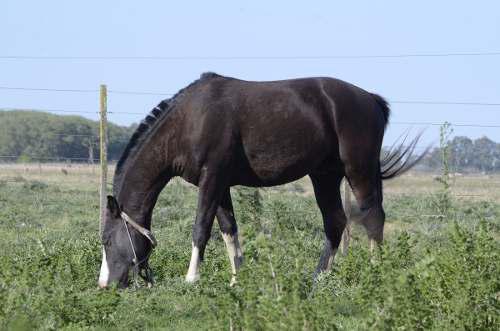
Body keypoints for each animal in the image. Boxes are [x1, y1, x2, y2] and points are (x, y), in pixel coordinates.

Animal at [96, 72, 422, 288]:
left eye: (108, 240)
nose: (104, 285)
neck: (190, 120)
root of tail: (371, 99)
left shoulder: (211, 179)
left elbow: (201, 228)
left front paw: (191, 279)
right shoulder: (220, 185)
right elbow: (228, 229)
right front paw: (236, 279)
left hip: (358, 170)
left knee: (372, 218)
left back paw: (374, 273)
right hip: (325, 176)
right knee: (336, 222)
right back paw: (318, 278)